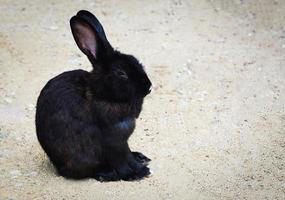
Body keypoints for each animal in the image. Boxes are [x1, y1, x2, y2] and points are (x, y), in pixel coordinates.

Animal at [35, 10, 152, 181]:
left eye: (137, 62)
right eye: (121, 73)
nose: (149, 87)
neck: (102, 94)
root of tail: (58, 167)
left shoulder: (122, 141)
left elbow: (128, 155)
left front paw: (140, 162)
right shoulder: (114, 141)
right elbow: (122, 161)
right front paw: (138, 173)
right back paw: (107, 173)